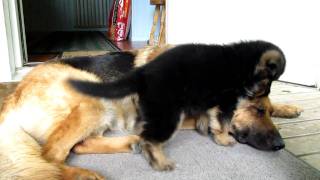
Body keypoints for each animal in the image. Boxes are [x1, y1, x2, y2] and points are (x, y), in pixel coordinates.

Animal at [70, 40, 290, 171]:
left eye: (268, 112)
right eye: (257, 110)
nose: (281, 145)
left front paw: (288, 108)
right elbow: (216, 120)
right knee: (81, 144)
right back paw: (136, 144)